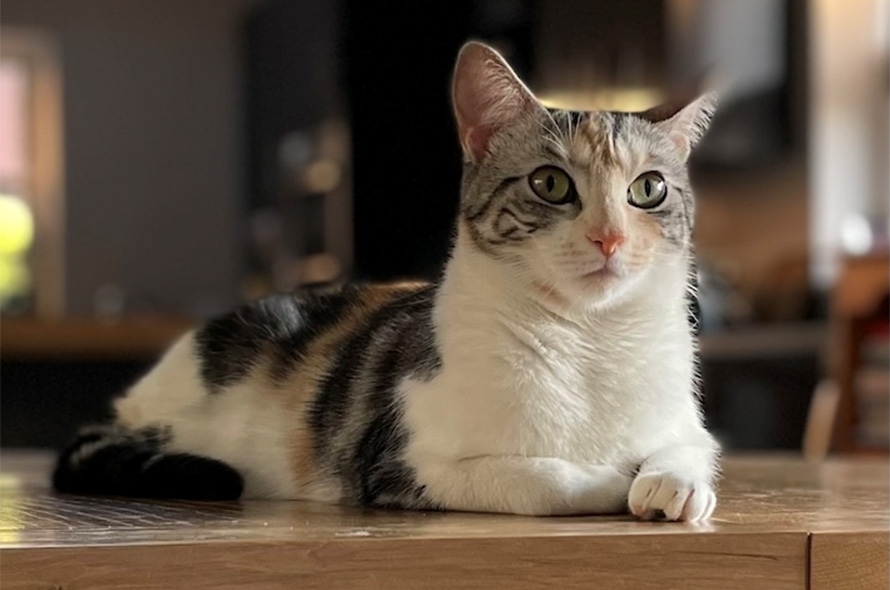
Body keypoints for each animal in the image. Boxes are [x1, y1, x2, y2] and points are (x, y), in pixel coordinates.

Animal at [53, 41, 716, 524]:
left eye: (648, 189)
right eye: (551, 184)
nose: (610, 238)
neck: (590, 342)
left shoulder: (687, 424)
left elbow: (694, 448)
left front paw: (673, 481)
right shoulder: (404, 464)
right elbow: (541, 478)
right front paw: (614, 480)